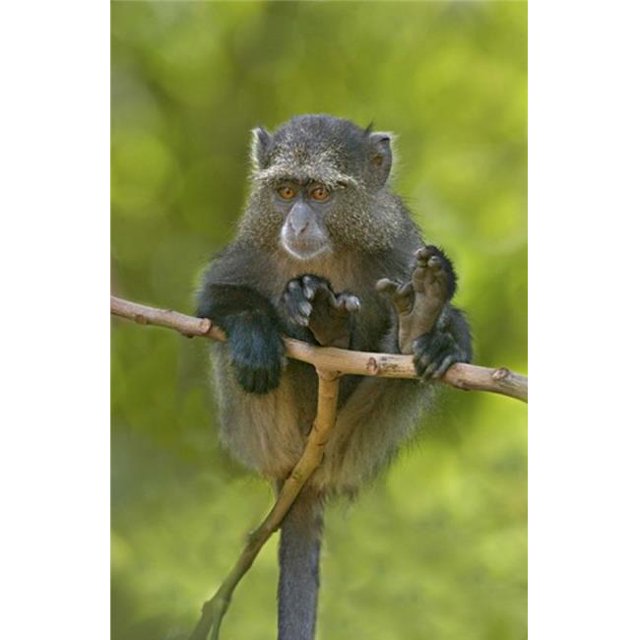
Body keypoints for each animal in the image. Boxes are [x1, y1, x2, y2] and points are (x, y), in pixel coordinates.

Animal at [196, 114, 472, 640]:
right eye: (285, 191)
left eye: (322, 193)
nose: (298, 222)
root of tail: (302, 474)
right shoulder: (247, 252)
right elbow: (214, 300)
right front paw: (256, 333)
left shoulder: (400, 248)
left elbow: (460, 331)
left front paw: (442, 338)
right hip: (263, 429)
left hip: (356, 440)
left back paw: (414, 330)